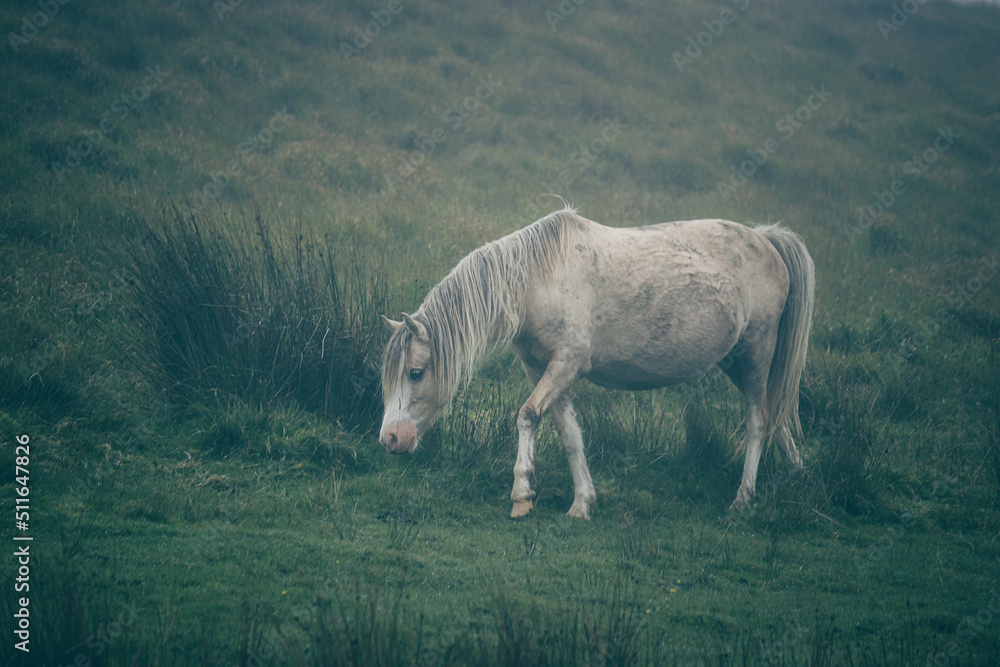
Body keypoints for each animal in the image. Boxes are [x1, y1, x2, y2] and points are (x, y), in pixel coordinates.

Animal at [379, 206, 814, 520]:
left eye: (416, 373)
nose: (391, 439)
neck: (538, 278)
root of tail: (765, 238)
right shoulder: (541, 368)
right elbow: (569, 434)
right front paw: (582, 503)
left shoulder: (567, 363)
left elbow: (527, 416)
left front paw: (522, 494)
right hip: (735, 361)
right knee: (774, 415)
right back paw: (798, 475)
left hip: (756, 352)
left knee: (758, 422)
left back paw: (743, 499)